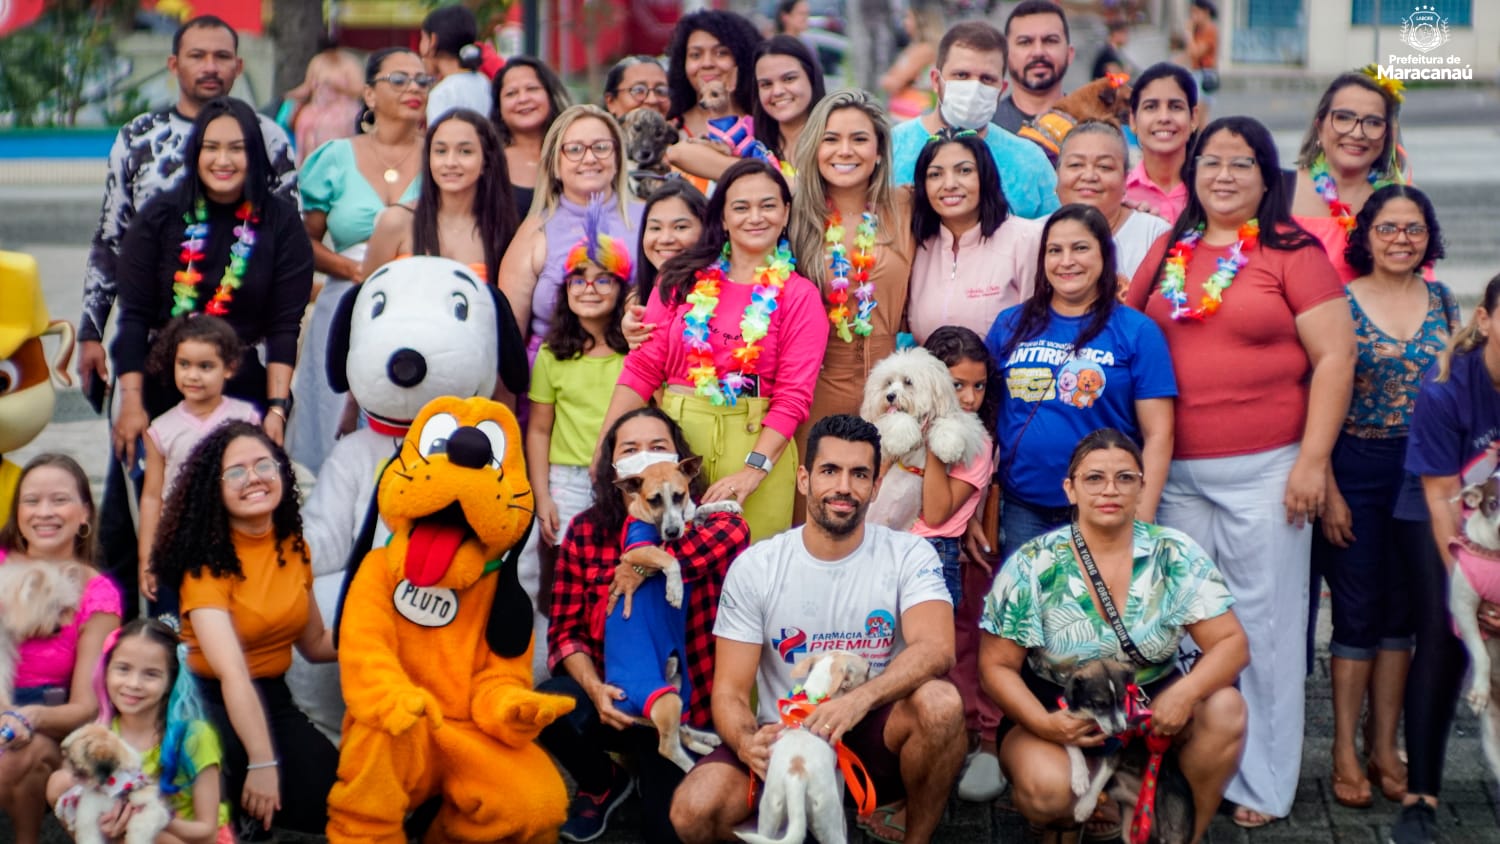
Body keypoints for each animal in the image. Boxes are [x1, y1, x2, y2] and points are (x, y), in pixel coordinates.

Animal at [735, 653, 876, 844]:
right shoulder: (839, 774)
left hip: (769, 815)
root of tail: (796, 776)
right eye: (868, 669)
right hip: (830, 820)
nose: (877, 673)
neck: (813, 699)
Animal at [864, 347, 990, 527]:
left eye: (908, 381)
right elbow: (898, 421)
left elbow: (953, 422)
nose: (889, 396)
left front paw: (948, 447)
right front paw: (900, 439)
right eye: (888, 383)